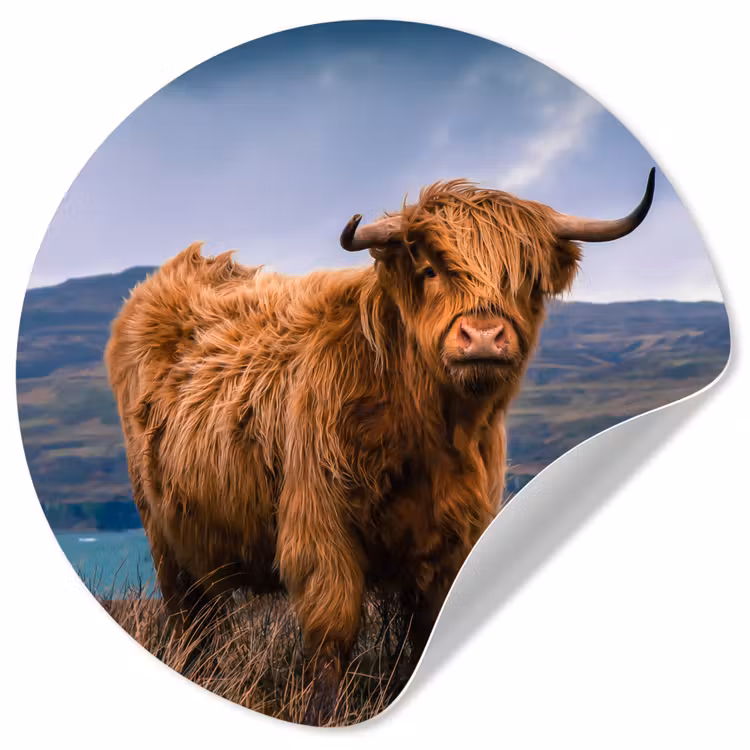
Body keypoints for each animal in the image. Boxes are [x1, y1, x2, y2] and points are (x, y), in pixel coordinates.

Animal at [105, 170, 654, 722]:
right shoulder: (321, 527)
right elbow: (332, 631)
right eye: (430, 269)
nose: (482, 337)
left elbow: (427, 628)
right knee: (188, 617)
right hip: (163, 533)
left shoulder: (457, 536)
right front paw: (325, 714)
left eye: (525, 279)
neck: (430, 431)